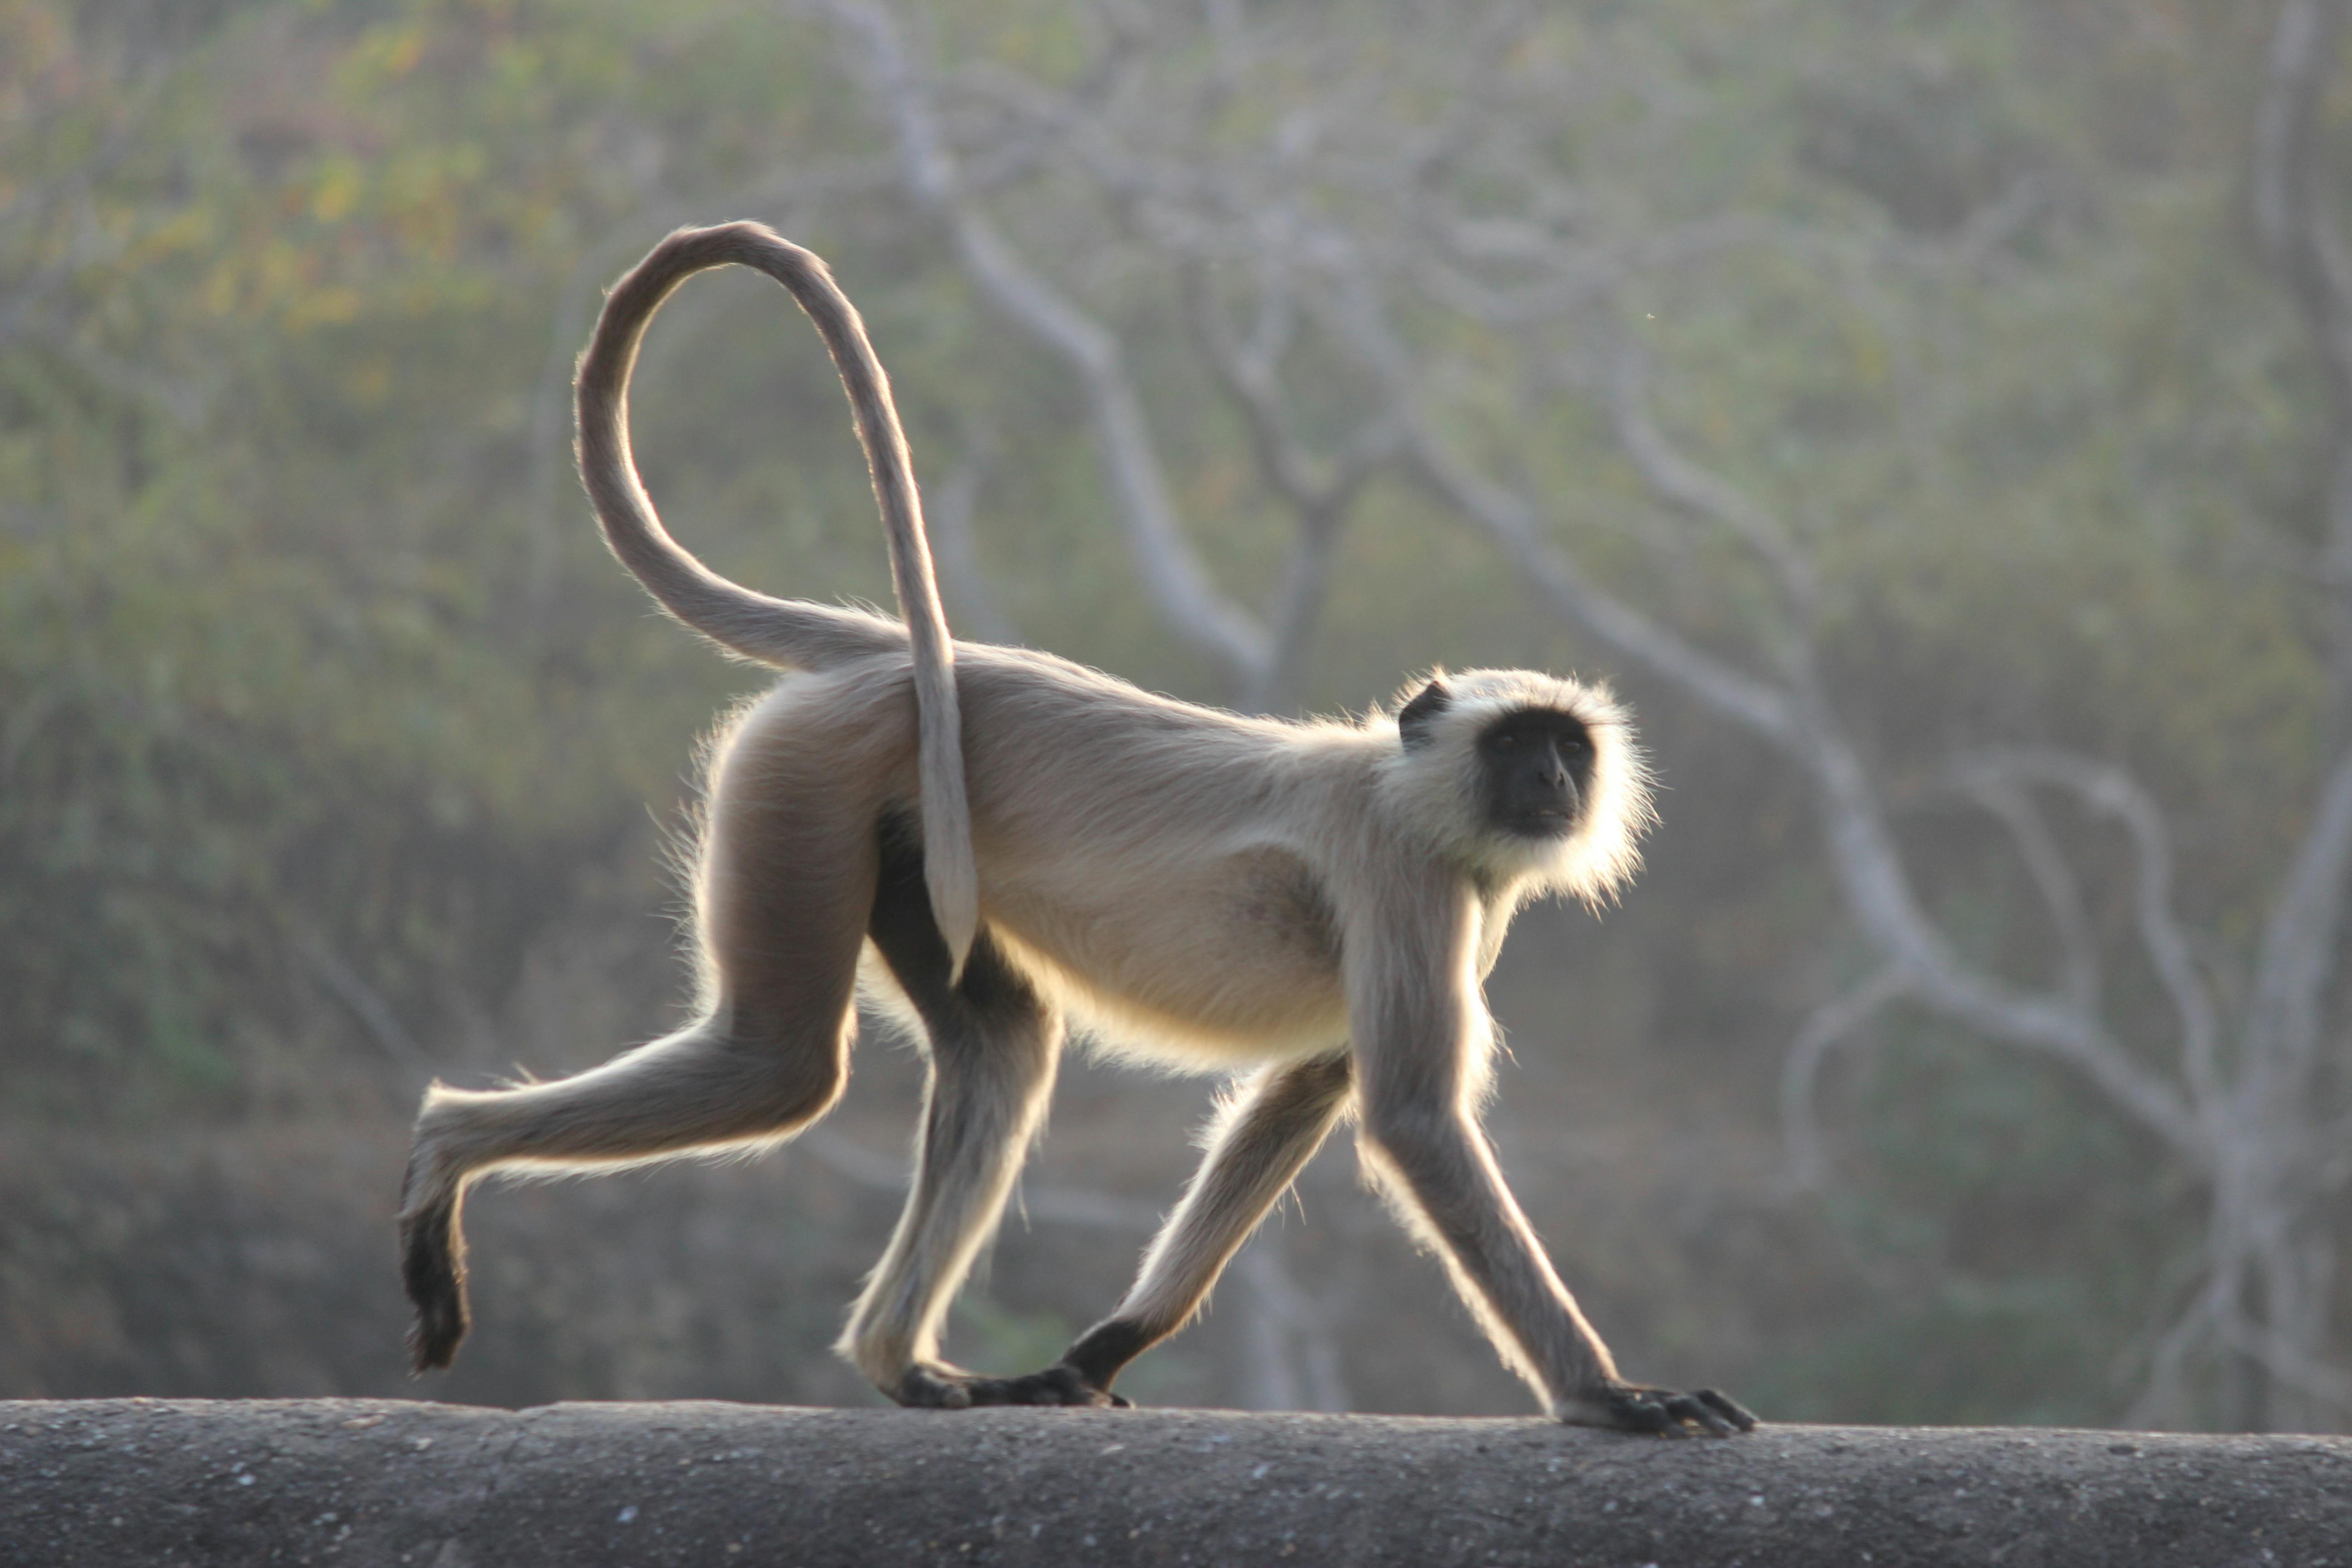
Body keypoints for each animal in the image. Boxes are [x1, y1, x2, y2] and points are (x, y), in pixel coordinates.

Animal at [404, 221, 1759, 1439]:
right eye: (1518, 745)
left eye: (1567, 749)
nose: (1554, 784)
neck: (1407, 782)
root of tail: (892, 653)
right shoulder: (1406, 873)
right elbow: (1413, 1120)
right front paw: (1607, 1395)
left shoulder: (1466, 898)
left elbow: (1306, 1087)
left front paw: (1105, 1344)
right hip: (806, 773)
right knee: (779, 1062)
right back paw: (442, 1149)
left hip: (893, 825)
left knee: (1001, 1040)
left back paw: (905, 1367)